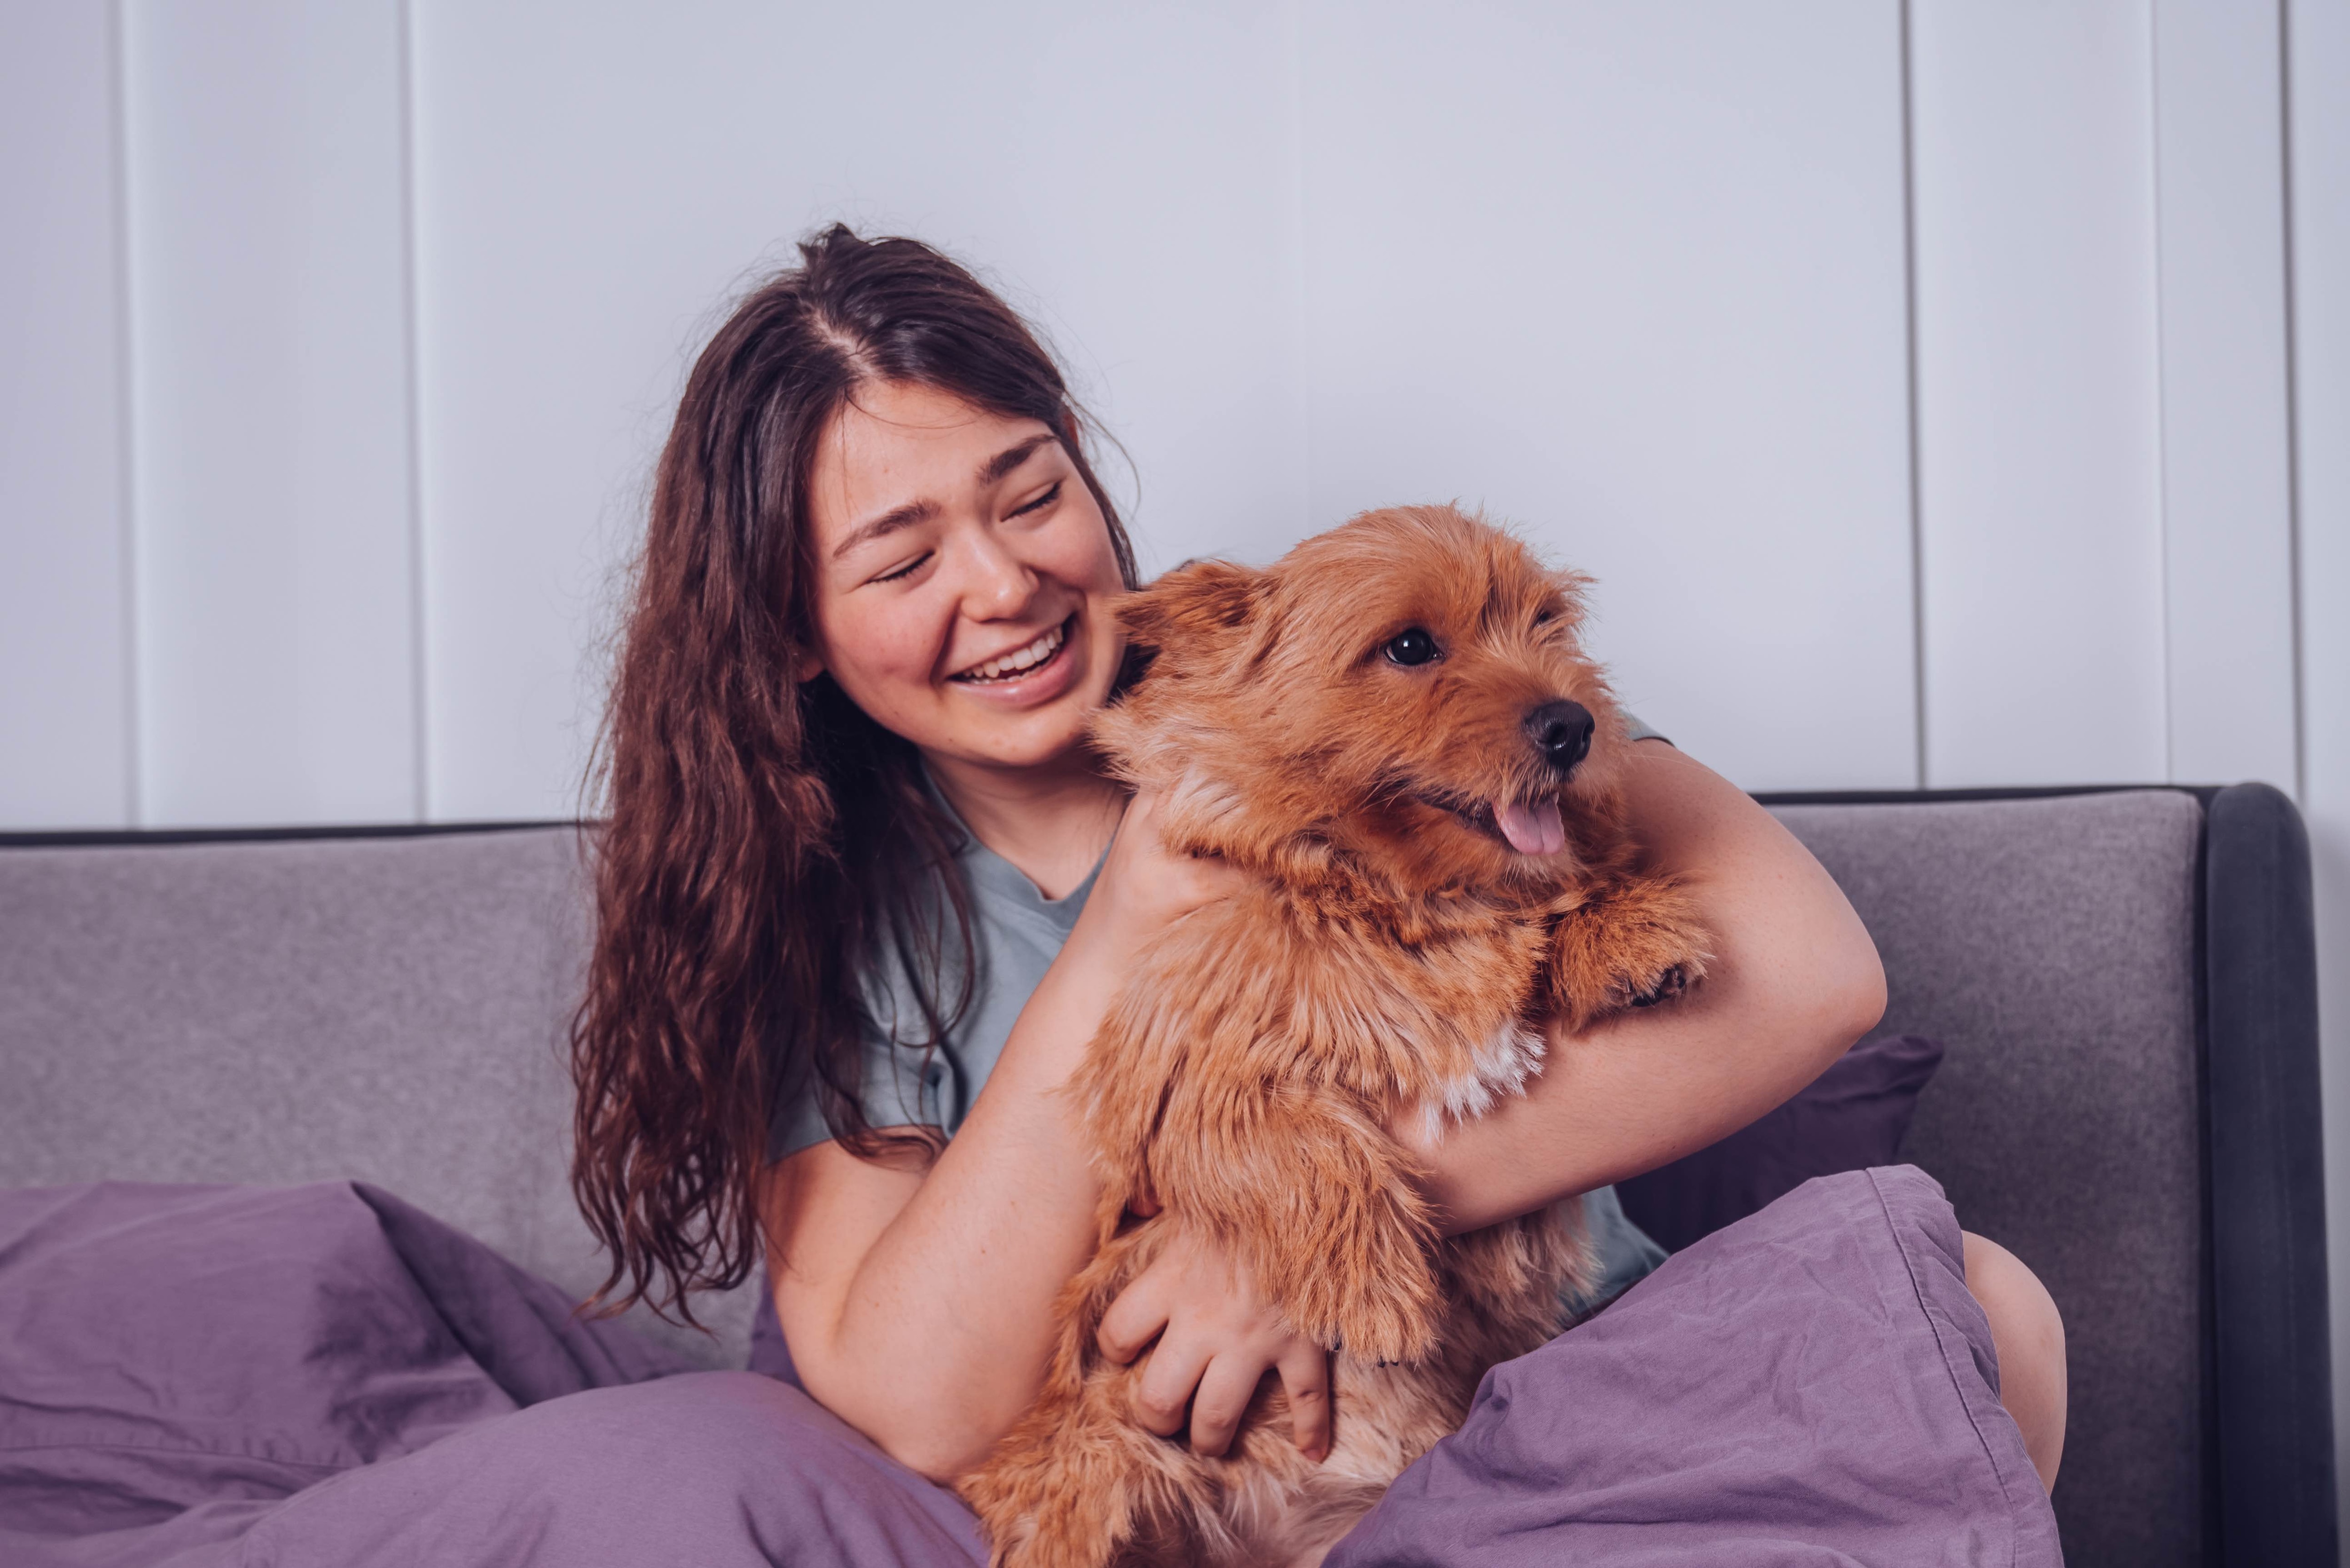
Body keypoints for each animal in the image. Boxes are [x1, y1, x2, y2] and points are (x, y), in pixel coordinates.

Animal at [954, 505, 1711, 1568]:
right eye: (1410, 647)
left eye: (1546, 622)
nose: (1575, 724)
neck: (1384, 898)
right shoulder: (1174, 1068)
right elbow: (1291, 1144)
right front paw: (1378, 1295)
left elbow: (1558, 903)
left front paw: (1628, 934)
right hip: (1100, 1466)